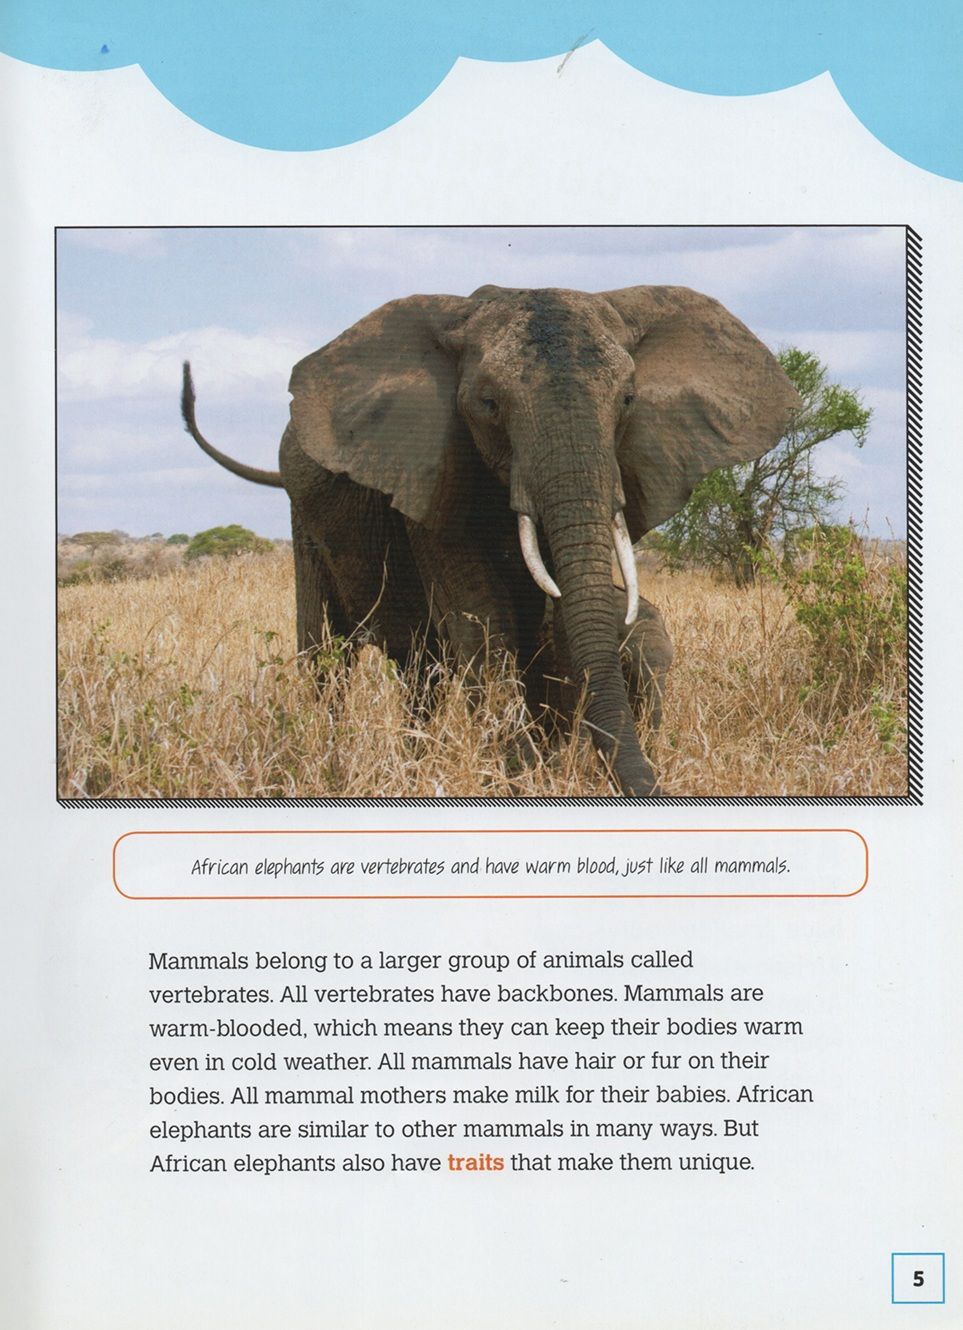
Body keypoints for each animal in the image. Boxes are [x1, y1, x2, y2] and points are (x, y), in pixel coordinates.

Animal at [181, 284, 798, 796]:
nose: (651, 785)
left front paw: (554, 767)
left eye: (627, 400)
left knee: (421, 672)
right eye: (488, 404)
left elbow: (556, 616)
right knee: (325, 656)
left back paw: (416, 764)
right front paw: (523, 777)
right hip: (303, 516)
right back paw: (327, 760)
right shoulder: (431, 471)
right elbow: (480, 613)